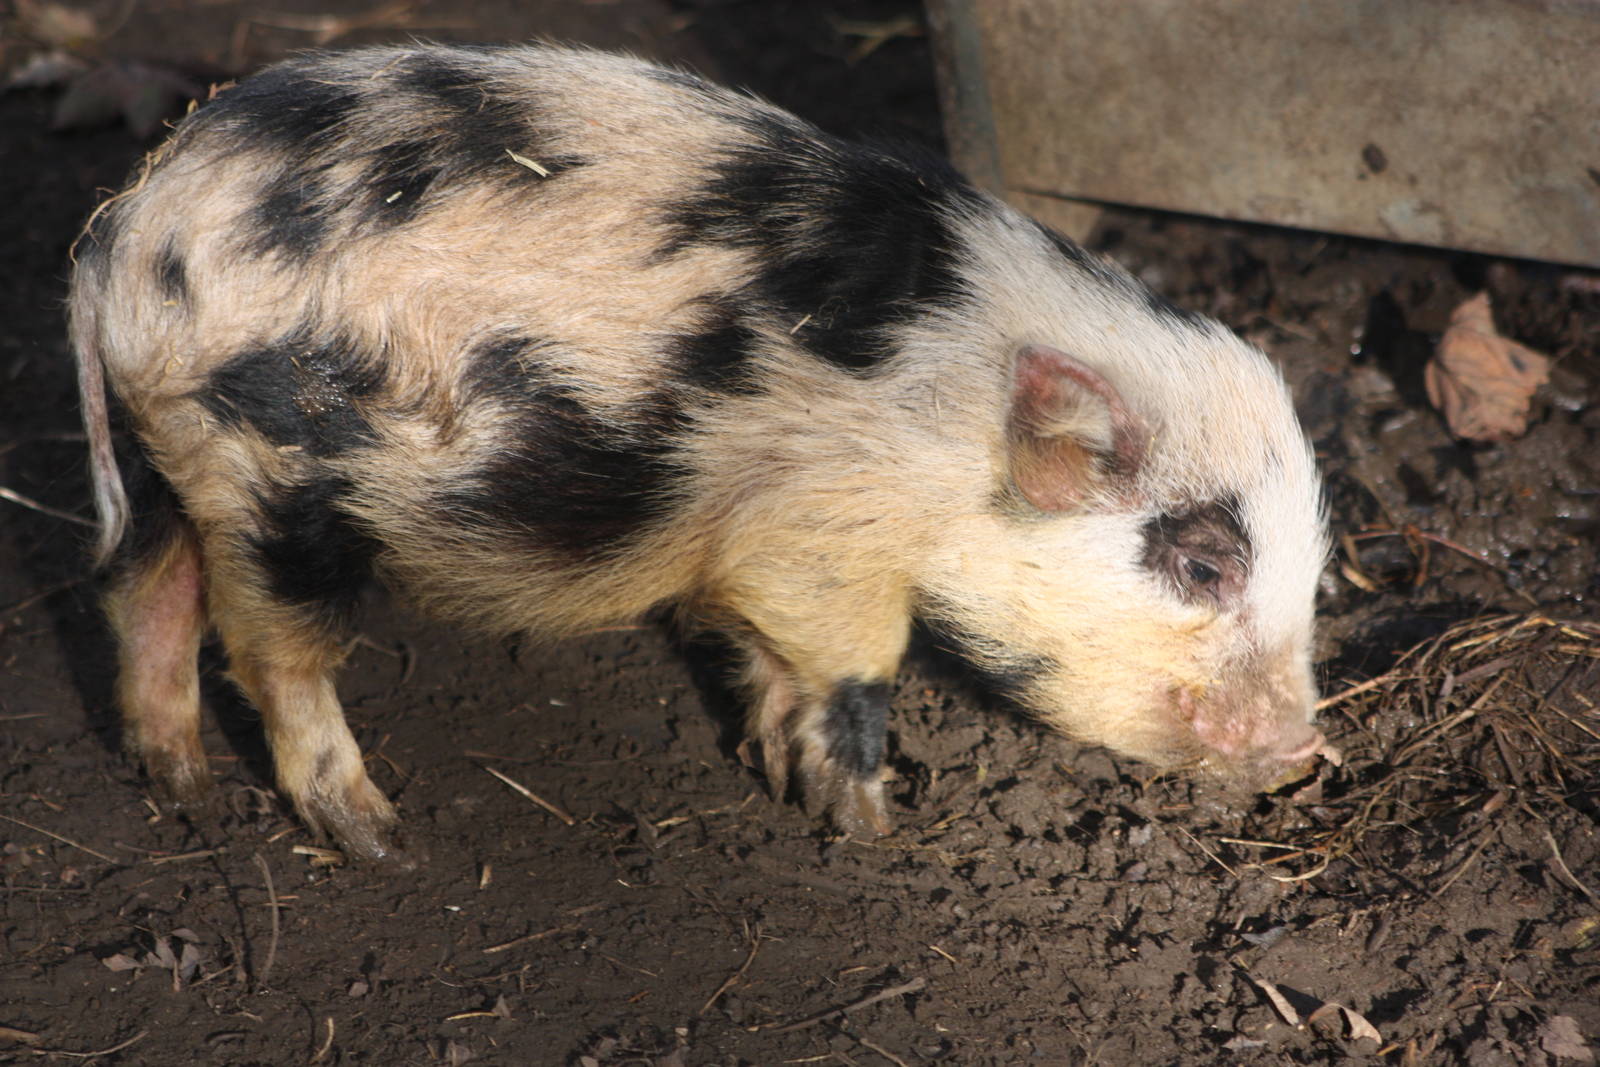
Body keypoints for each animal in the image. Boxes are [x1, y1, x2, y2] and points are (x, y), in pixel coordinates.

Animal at [69, 43, 1333, 863]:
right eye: (1204, 562)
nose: (1303, 746)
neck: (948, 431)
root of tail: (121, 235)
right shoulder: (821, 536)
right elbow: (859, 667)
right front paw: (864, 823)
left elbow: (762, 648)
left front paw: (774, 764)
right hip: (273, 472)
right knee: (270, 647)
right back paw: (376, 837)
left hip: (169, 449)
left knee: (140, 581)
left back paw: (175, 780)